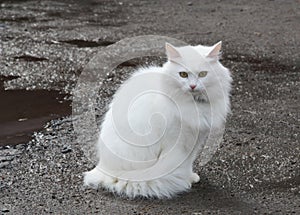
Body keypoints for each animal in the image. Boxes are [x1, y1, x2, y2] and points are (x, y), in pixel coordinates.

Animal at [83, 41, 233, 199]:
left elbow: (189, 162)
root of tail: (106, 170)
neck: (194, 104)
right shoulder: (176, 142)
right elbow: (180, 164)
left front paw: (190, 177)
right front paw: (185, 179)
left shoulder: (195, 139)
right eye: (183, 74)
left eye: (203, 74)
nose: (193, 86)